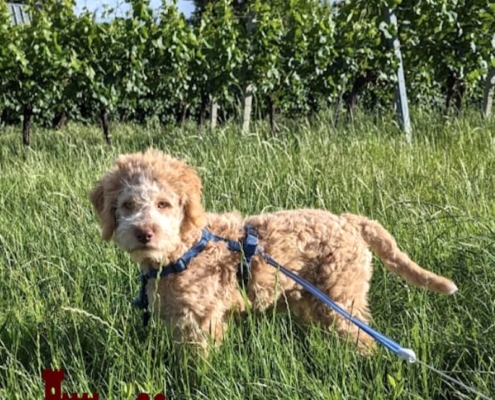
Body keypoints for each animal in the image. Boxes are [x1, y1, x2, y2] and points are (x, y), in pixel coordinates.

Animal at [89, 148, 458, 354]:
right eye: (127, 205)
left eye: (164, 204)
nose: (144, 233)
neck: (187, 249)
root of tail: (349, 221)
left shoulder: (201, 322)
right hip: (313, 299)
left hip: (342, 299)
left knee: (362, 340)